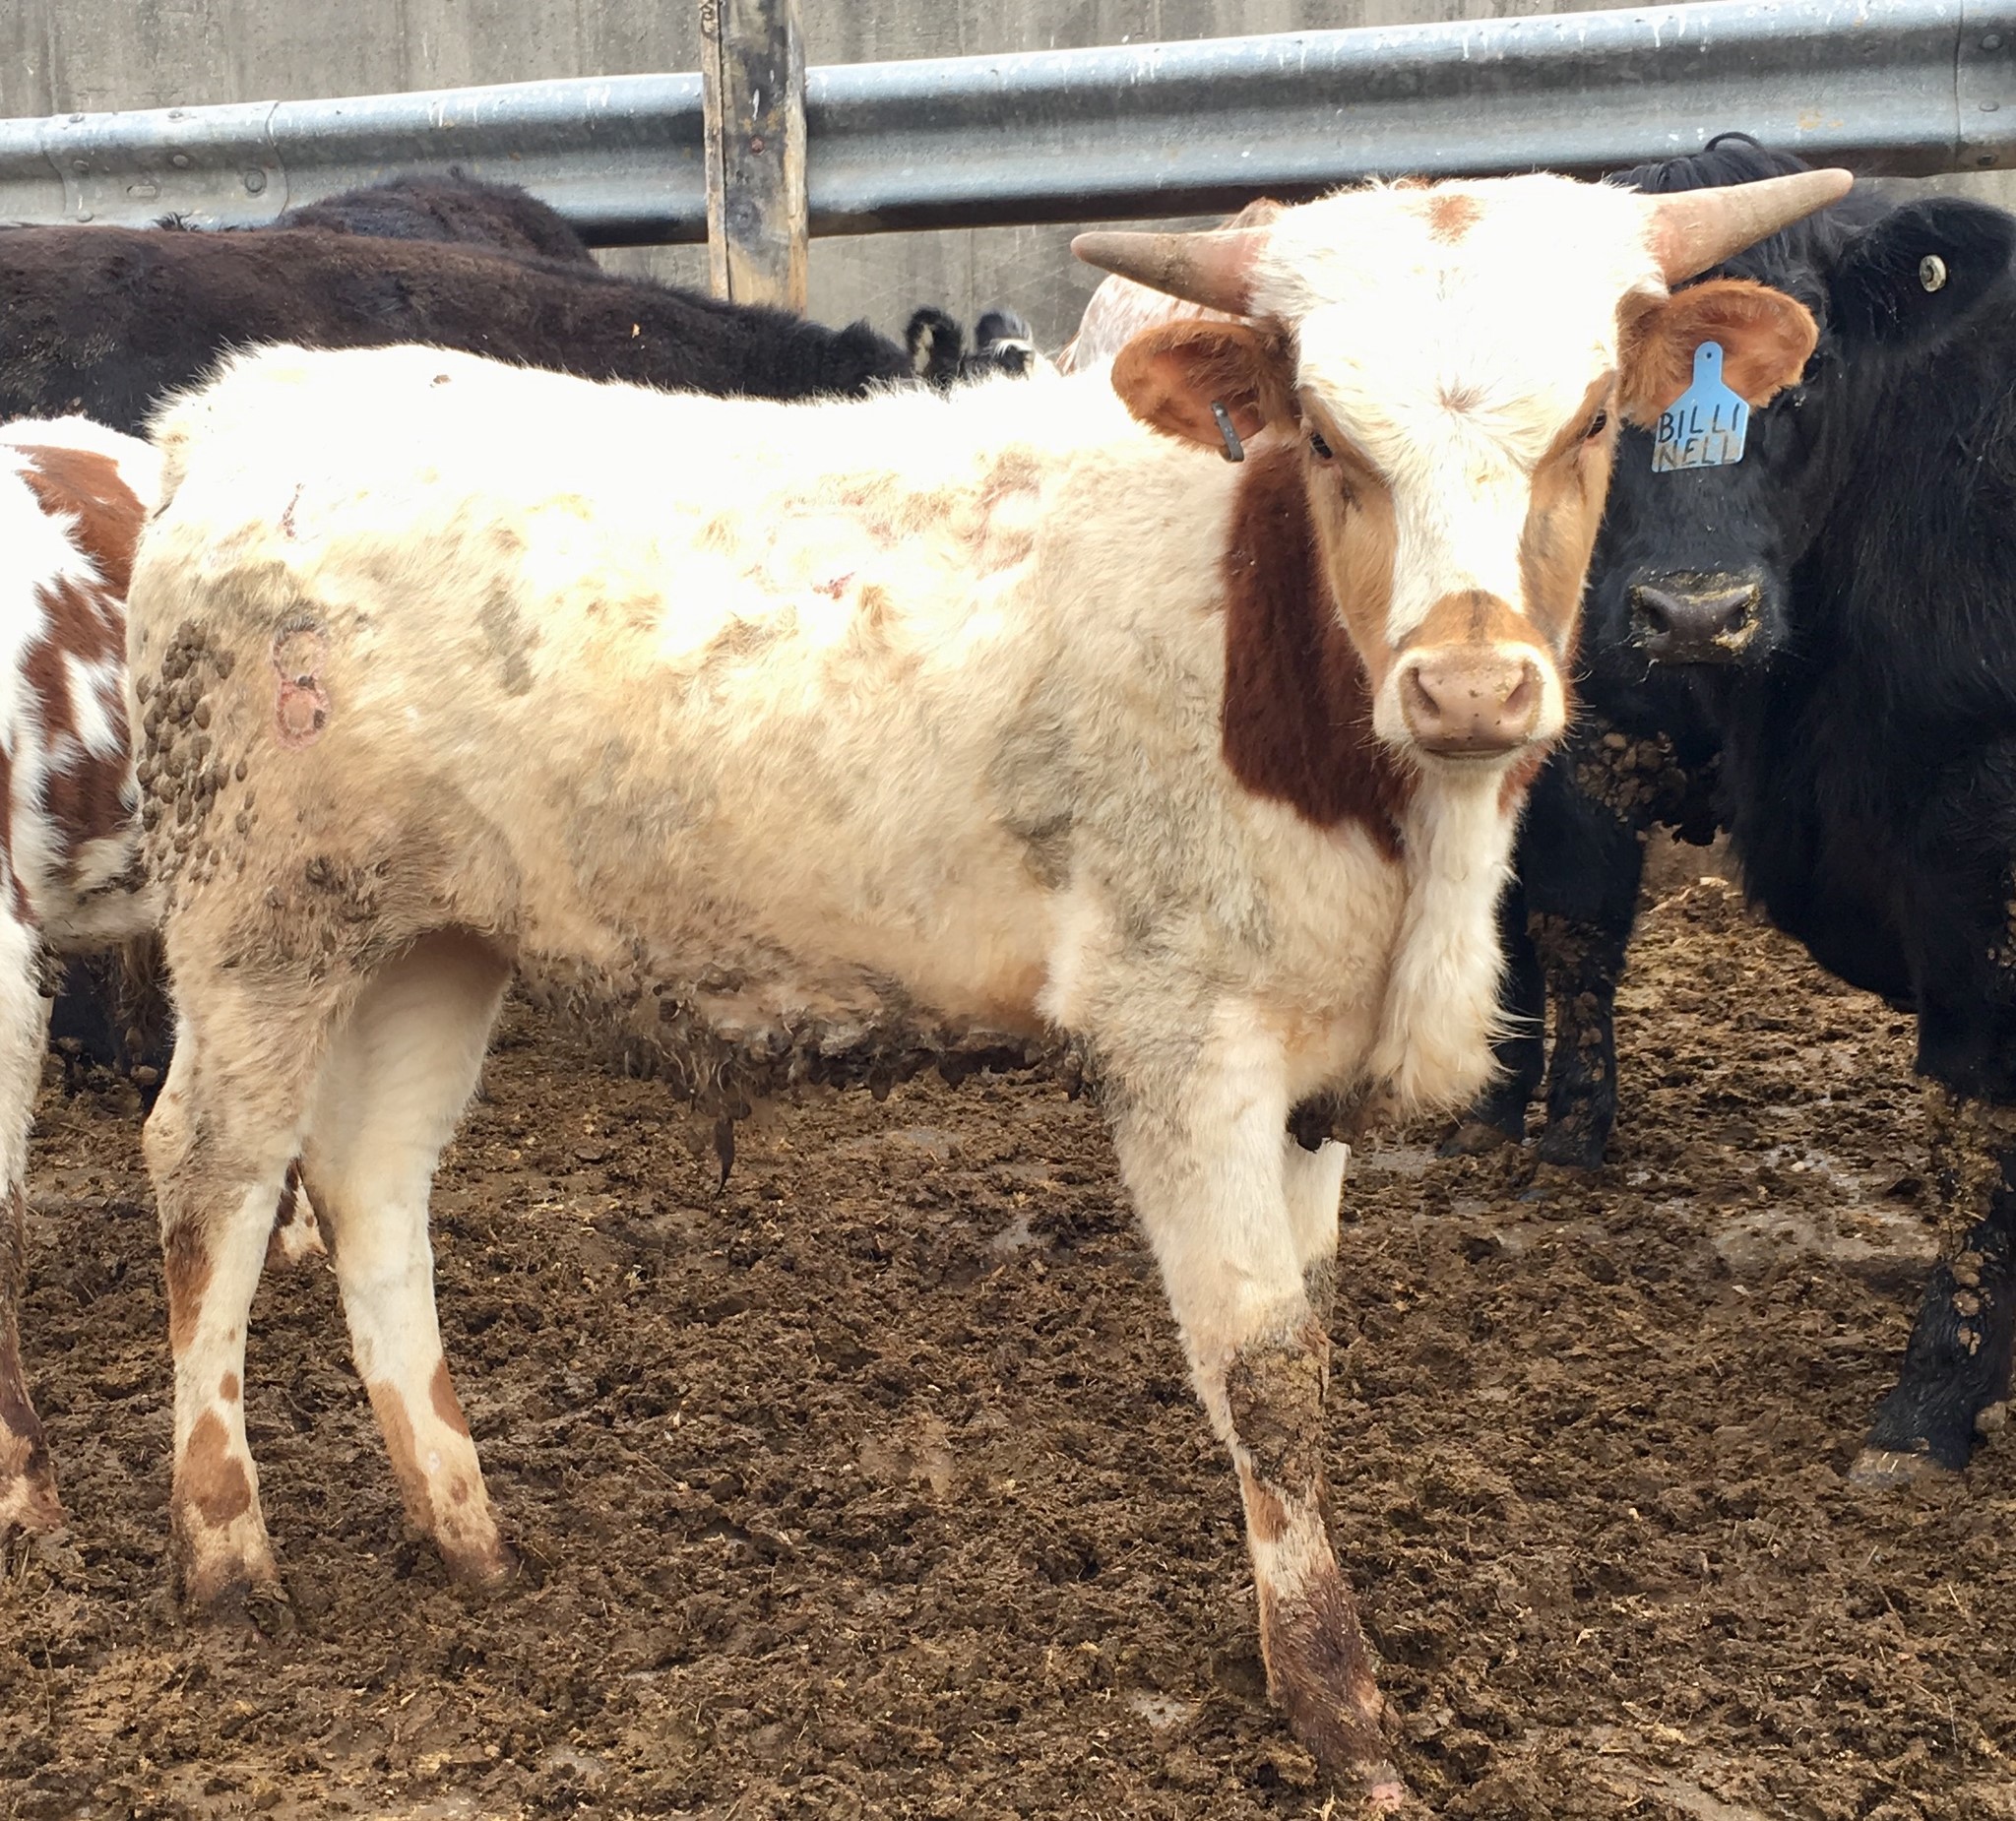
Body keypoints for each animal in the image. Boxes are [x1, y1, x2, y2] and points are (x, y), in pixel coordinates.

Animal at [122, 169, 1839, 1802]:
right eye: (1327, 435)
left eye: (1595, 420)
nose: (1473, 683)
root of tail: (245, 411)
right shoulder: (1183, 1042)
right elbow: (1264, 1370)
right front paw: (1339, 1708)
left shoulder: (1307, 1062)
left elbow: (1306, 1337)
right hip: (256, 922)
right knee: (213, 1173)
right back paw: (228, 1556)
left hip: (433, 937)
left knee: (372, 1181)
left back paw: (466, 1530)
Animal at [1447, 139, 2016, 1484]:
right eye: (1594, 396)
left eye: (1804, 376)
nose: (1695, 613)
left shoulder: (1975, 860)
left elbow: (1974, 1113)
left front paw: (1930, 1402)